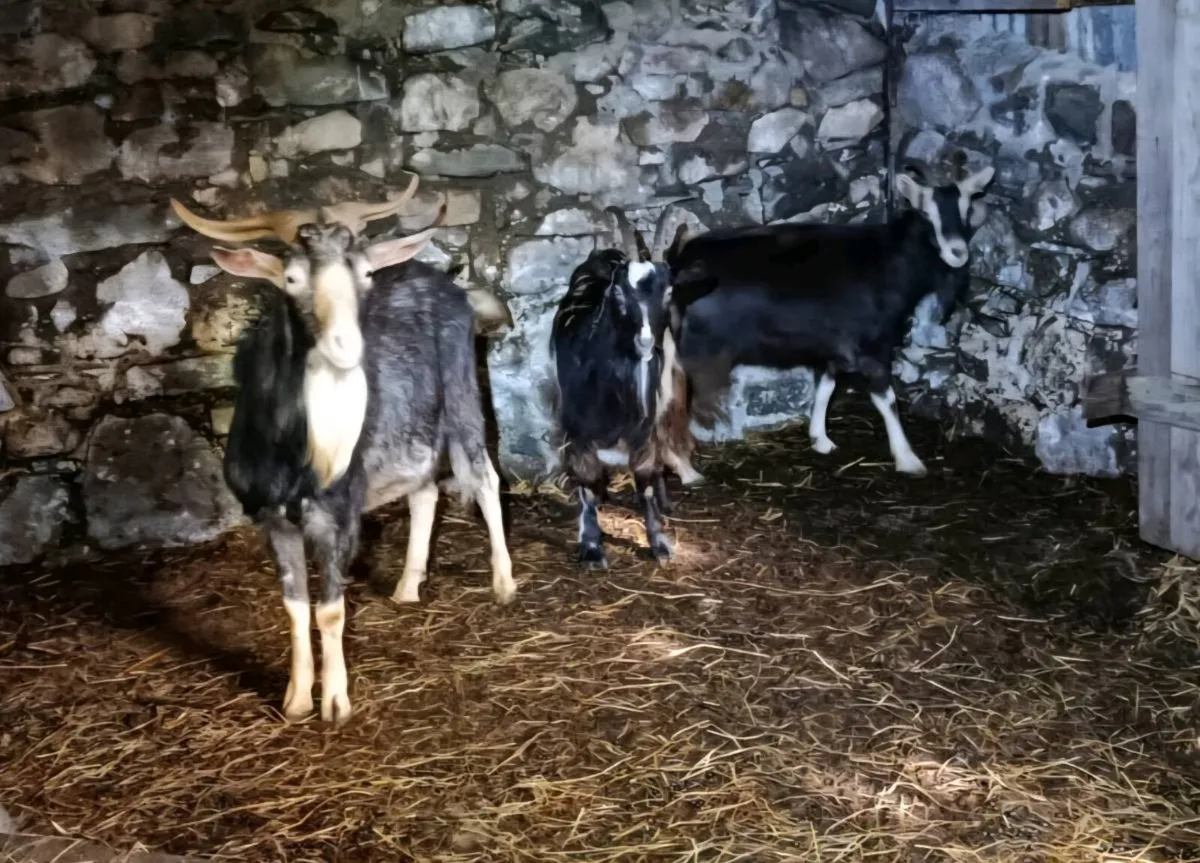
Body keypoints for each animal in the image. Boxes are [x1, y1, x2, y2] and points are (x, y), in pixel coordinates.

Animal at [170, 174, 516, 724]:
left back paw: (504, 584)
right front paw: (295, 700)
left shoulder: (337, 514)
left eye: (366, 272)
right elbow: (294, 607)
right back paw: (407, 587)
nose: (346, 348)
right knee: (423, 491)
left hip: (463, 392)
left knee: (483, 476)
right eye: (290, 278)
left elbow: (330, 610)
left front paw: (335, 702)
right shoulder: (271, 518)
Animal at [550, 208, 685, 570]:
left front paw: (659, 543)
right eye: (619, 293)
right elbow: (585, 483)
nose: (646, 342)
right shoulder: (576, 429)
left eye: (669, 292)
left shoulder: (644, 427)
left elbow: (645, 481)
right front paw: (592, 546)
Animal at [664, 154, 995, 476]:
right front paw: (908, 460)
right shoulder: (871, 346)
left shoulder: (832, 343)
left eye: (967, 208)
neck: (891, 259)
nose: (957, 252)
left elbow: (826, 386)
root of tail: (679, 266)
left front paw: (820, 439)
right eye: (925, 212)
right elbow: (887, 399)